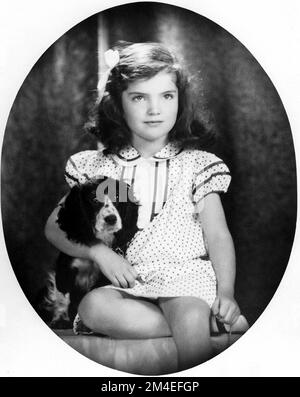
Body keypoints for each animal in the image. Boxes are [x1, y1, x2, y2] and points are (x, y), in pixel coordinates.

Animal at [35, 176, 139, 328]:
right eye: (94, 199)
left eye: (118, 197)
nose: (111, 219)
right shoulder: (65, 268)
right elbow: (62, 295)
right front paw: (61, 319)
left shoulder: (104, 276)